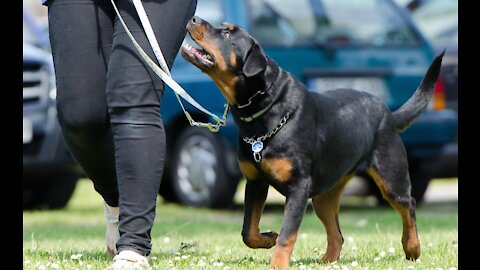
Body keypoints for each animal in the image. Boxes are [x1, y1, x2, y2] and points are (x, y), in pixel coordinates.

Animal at [181, 16, 446, 268]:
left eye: (227, 33)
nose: (194, 18)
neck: (263, 110)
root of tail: (389, 115)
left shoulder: (299, 187)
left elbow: (288, 233)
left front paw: (277, 264)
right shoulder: (255, 182)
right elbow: (249, 231)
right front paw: (268, 238)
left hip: (391, 176)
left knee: (408, 205)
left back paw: (412, 247)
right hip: (324, 195)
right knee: (337, 233)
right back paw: (327, 260)